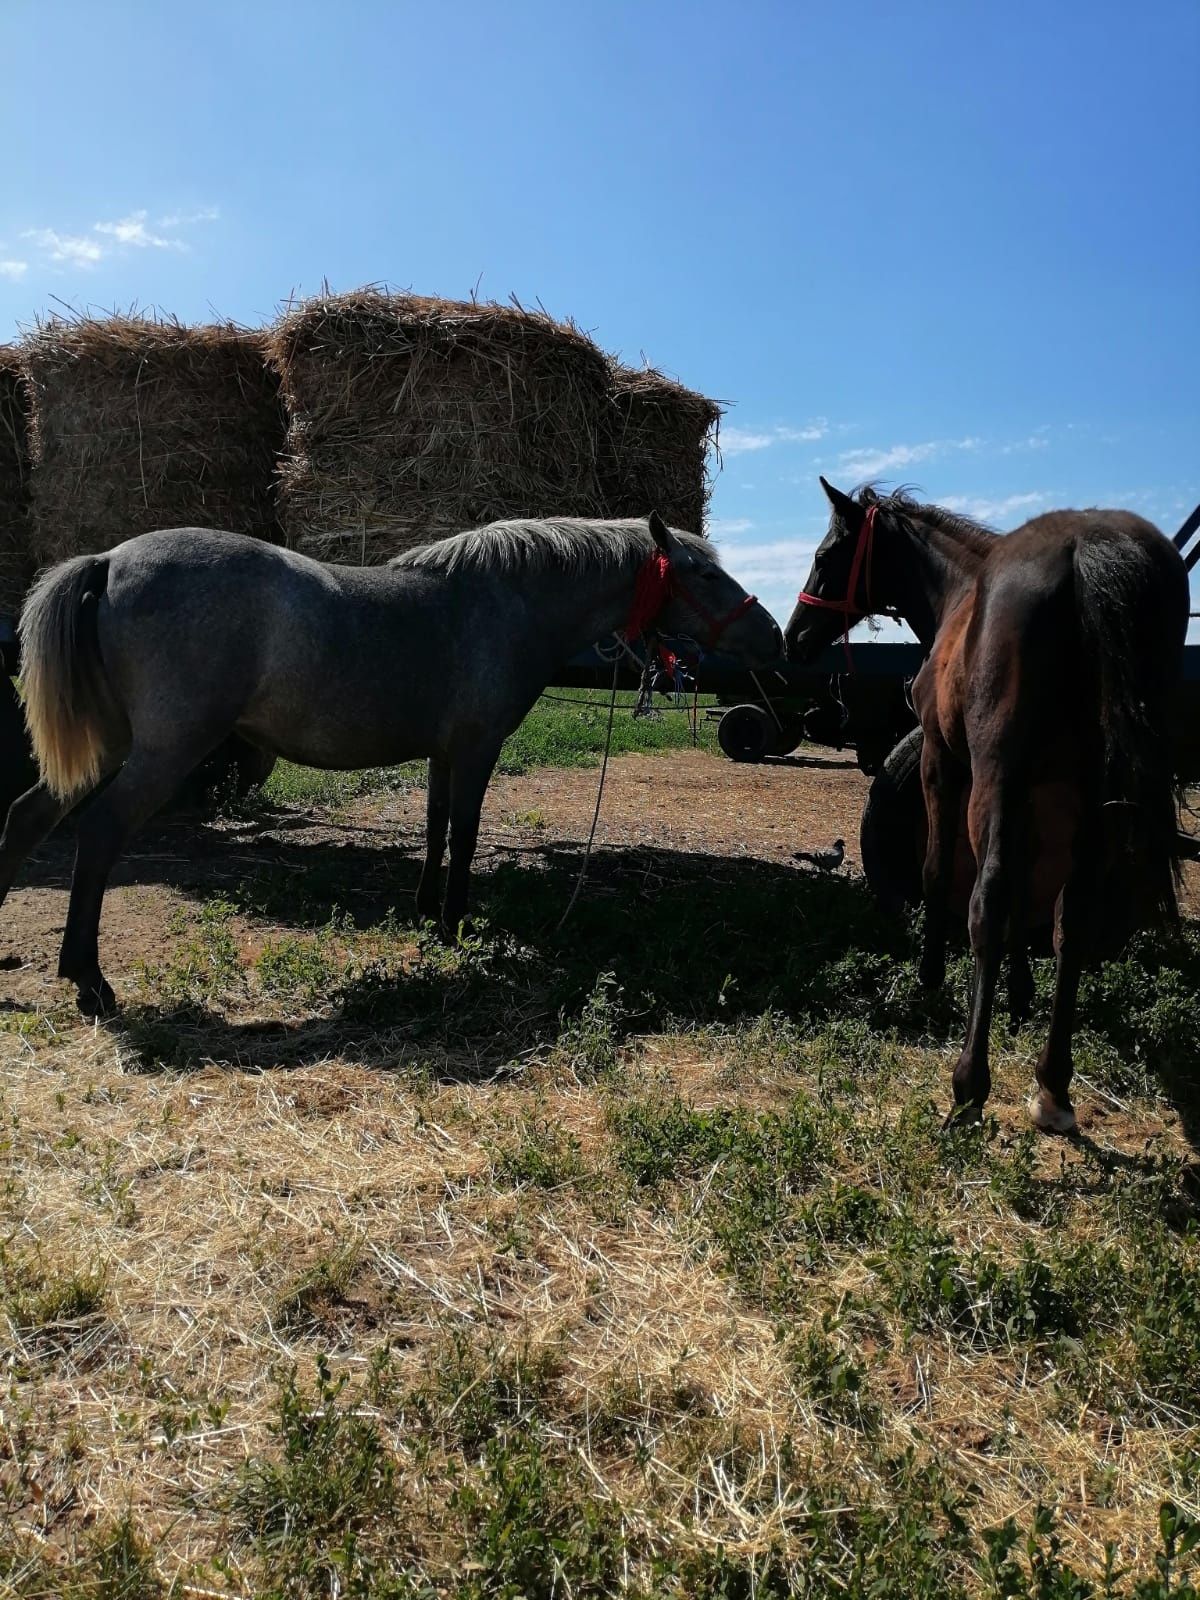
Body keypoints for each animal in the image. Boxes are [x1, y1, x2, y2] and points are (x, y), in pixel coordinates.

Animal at [2, 512, 790, 1011]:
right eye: (704, 576)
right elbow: (464, 838)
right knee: (100, 833)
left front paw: (424, 915)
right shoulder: (476, 749)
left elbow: (435, 831)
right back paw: (89, 981)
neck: (500, 604)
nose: (774, 637)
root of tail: (110, 560)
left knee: (27, 819)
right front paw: (456, 927)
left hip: (107, 746)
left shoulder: (443, 754)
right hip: (165, 750)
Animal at [784, 480, 1190, 1132]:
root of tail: (1087, 551)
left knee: (989, 900)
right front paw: (1020, 995)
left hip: (998, 777)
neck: (961, 590)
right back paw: (1053, 1085)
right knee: (1074, 914)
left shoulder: (947, 763)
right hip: (1095, 797)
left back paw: (969, 1085)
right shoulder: (1044, 792)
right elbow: (1031, 889)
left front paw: (929, 976)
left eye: (827, 556)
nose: (793, 638)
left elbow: (943, 871)